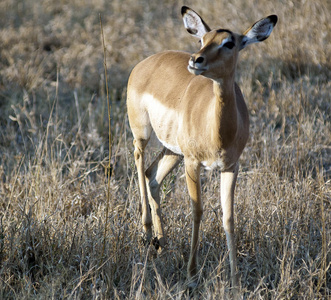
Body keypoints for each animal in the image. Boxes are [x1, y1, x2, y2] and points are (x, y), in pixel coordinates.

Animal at [127, 6, 278, 288]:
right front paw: (191, 272)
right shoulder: (193, 163)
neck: (218, 133)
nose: (196, 60)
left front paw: (235, 279)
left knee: (152, 176)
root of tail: (146, 63)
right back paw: (146, 234)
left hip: (173, 151)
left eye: (229, 43)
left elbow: (228, 217)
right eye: (202, 40)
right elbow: (197, 211)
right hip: (143, 134)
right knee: (139, 160)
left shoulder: (230, 167)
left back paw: (161, 243)